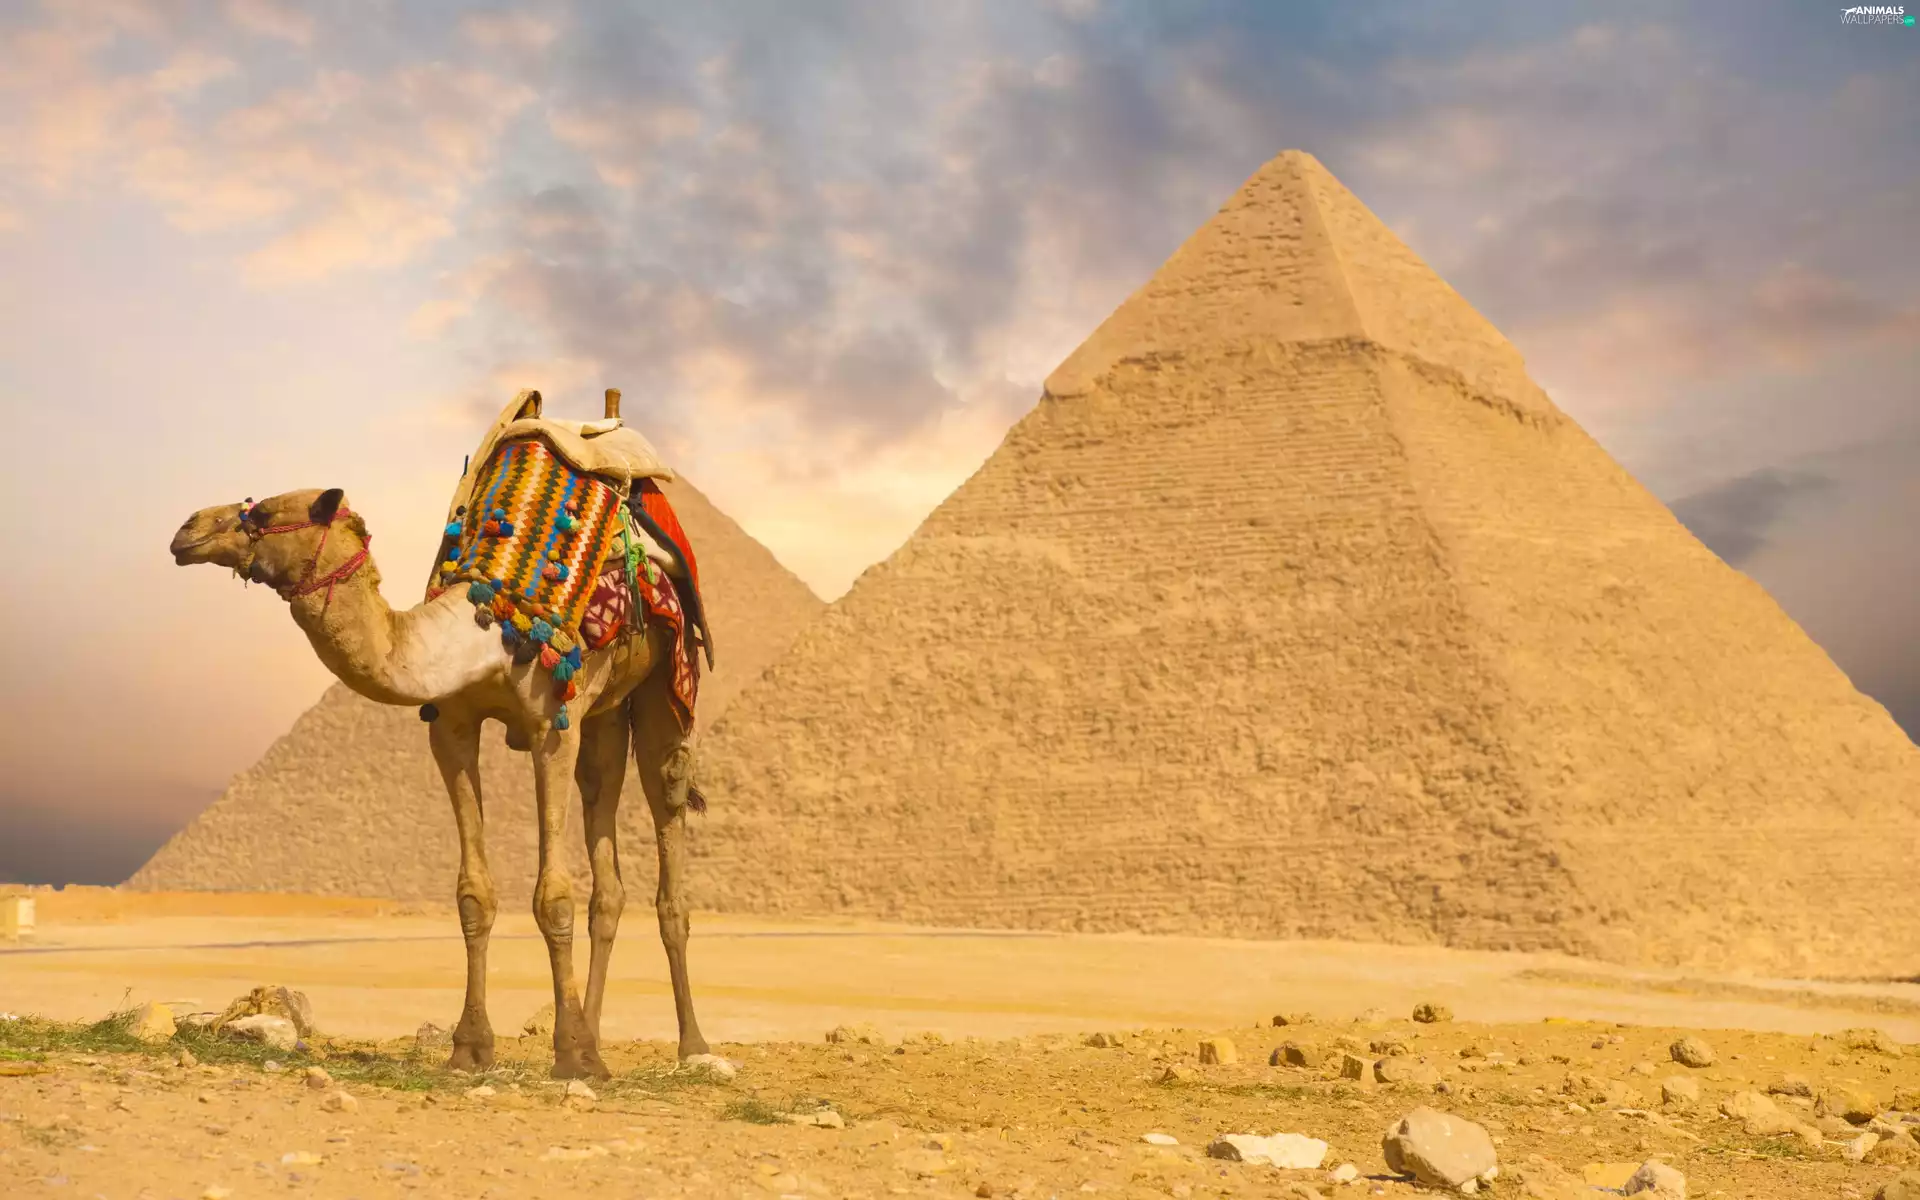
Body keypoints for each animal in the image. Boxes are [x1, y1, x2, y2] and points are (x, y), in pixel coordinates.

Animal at [166, 391, 710, 1081]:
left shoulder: (550, 726)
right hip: (606, 717)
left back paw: (691, 1044)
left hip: (665, 683)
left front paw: (570, 1053)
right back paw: (597, 1035)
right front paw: (472, 1047)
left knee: (667, 827)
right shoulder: (452, 727)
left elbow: (553, 896)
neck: (488, 624)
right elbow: (474, 894)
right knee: (607, 867)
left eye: (261, 511)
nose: (187, 528)